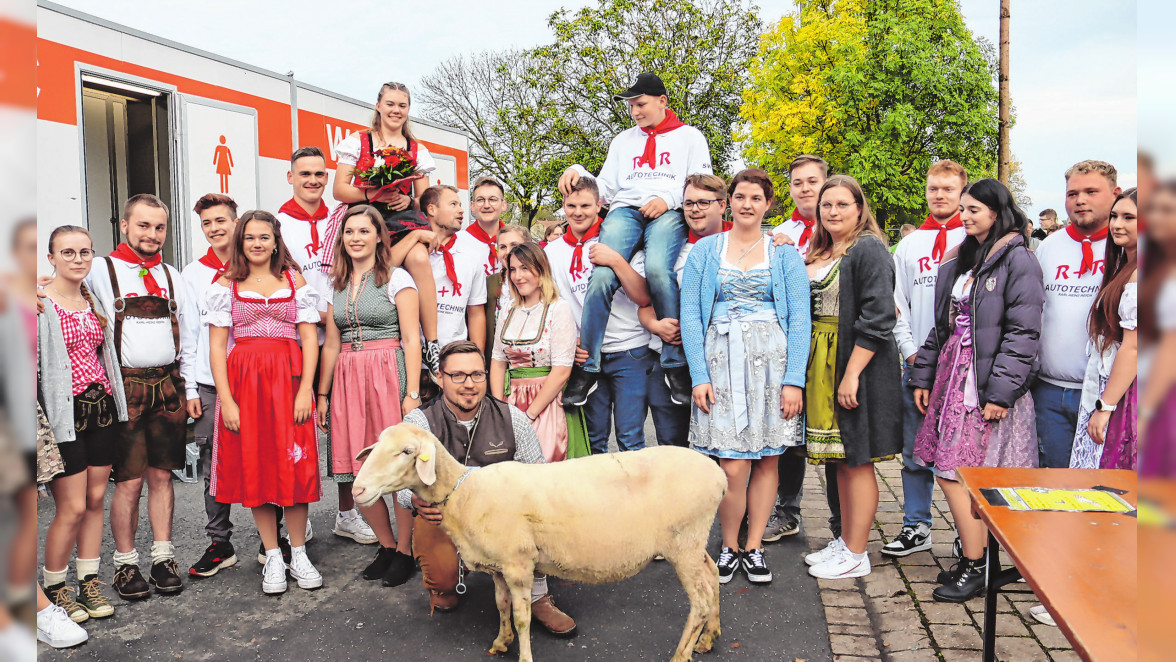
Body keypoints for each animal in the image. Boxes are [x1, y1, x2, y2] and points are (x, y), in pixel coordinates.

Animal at [350, 425, 724, 662]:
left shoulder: (518, 564)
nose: (357, 490)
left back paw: (681, 654)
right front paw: (501, 642)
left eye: (407, 452)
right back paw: (709, 637)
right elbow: (501, 606)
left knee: (700, 601)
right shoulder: (498, 566)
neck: (462, 492)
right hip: (694, 541)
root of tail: (719, 477)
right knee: (712, 575)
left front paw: (523, 655)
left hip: (683, 542)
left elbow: (522, 618)